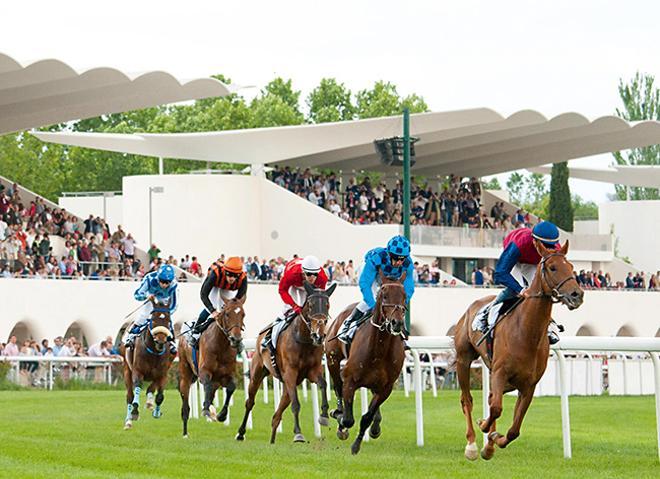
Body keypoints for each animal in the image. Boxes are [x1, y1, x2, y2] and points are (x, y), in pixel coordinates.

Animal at [120, 298, 174, 430]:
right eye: (153, 320)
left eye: (168, 321)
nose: (160, 342)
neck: (154, 352)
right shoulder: (137, 372)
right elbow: (136, 392)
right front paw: (134, 413)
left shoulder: (163, 374)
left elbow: (159, 396)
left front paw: (156, 411)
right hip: (126, 370)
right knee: (129, 396)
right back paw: (128, 421)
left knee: (151, 388)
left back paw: (150, 403)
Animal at [177, 298, 246, 440]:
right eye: (227, 314)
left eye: (243, 314)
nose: (236, 339)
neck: (221, 346)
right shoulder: (204, 373)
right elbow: (207, 386)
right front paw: (206, 410)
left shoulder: (227, 375)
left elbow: (231, 387)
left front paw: (221, 415)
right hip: (185, 373)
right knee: (186, 404)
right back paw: (185, 433)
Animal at [236, 284, 338, 444]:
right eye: (311, 305)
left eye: (327, 305)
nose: (319, 335)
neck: (304, 340)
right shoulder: (290, 372)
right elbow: (296, 404)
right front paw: (298, 433)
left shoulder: (313, 371)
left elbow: (323, 384)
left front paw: (324, 416)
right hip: (258, 373)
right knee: (250, 402)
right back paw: (241, 433)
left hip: (289, 384)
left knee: (277, 414)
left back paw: (272, 440)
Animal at [324, 272, 408, 456]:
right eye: (384, 296)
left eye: (405, 296)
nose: (396, 323)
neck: (378, 351)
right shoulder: (350, 381)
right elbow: (348, 419)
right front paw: (339, 418)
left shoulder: (386, 388)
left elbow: (367, 417)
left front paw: (356, 445)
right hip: (332, 360)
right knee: (337, 388)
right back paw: (338, 413)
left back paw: (375, 426)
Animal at [454, 240, 584, 462]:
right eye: (552, 268)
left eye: (572, 267)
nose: (577, 295)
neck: (526, 333)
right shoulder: (500, 373)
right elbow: (496, 408)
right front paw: (485, 428)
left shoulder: (528, 385)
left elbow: (514, 429)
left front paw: (494, 441)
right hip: (464, 359)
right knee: (467, 400)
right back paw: (471, 445)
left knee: (490, 398)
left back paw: (488, 446)